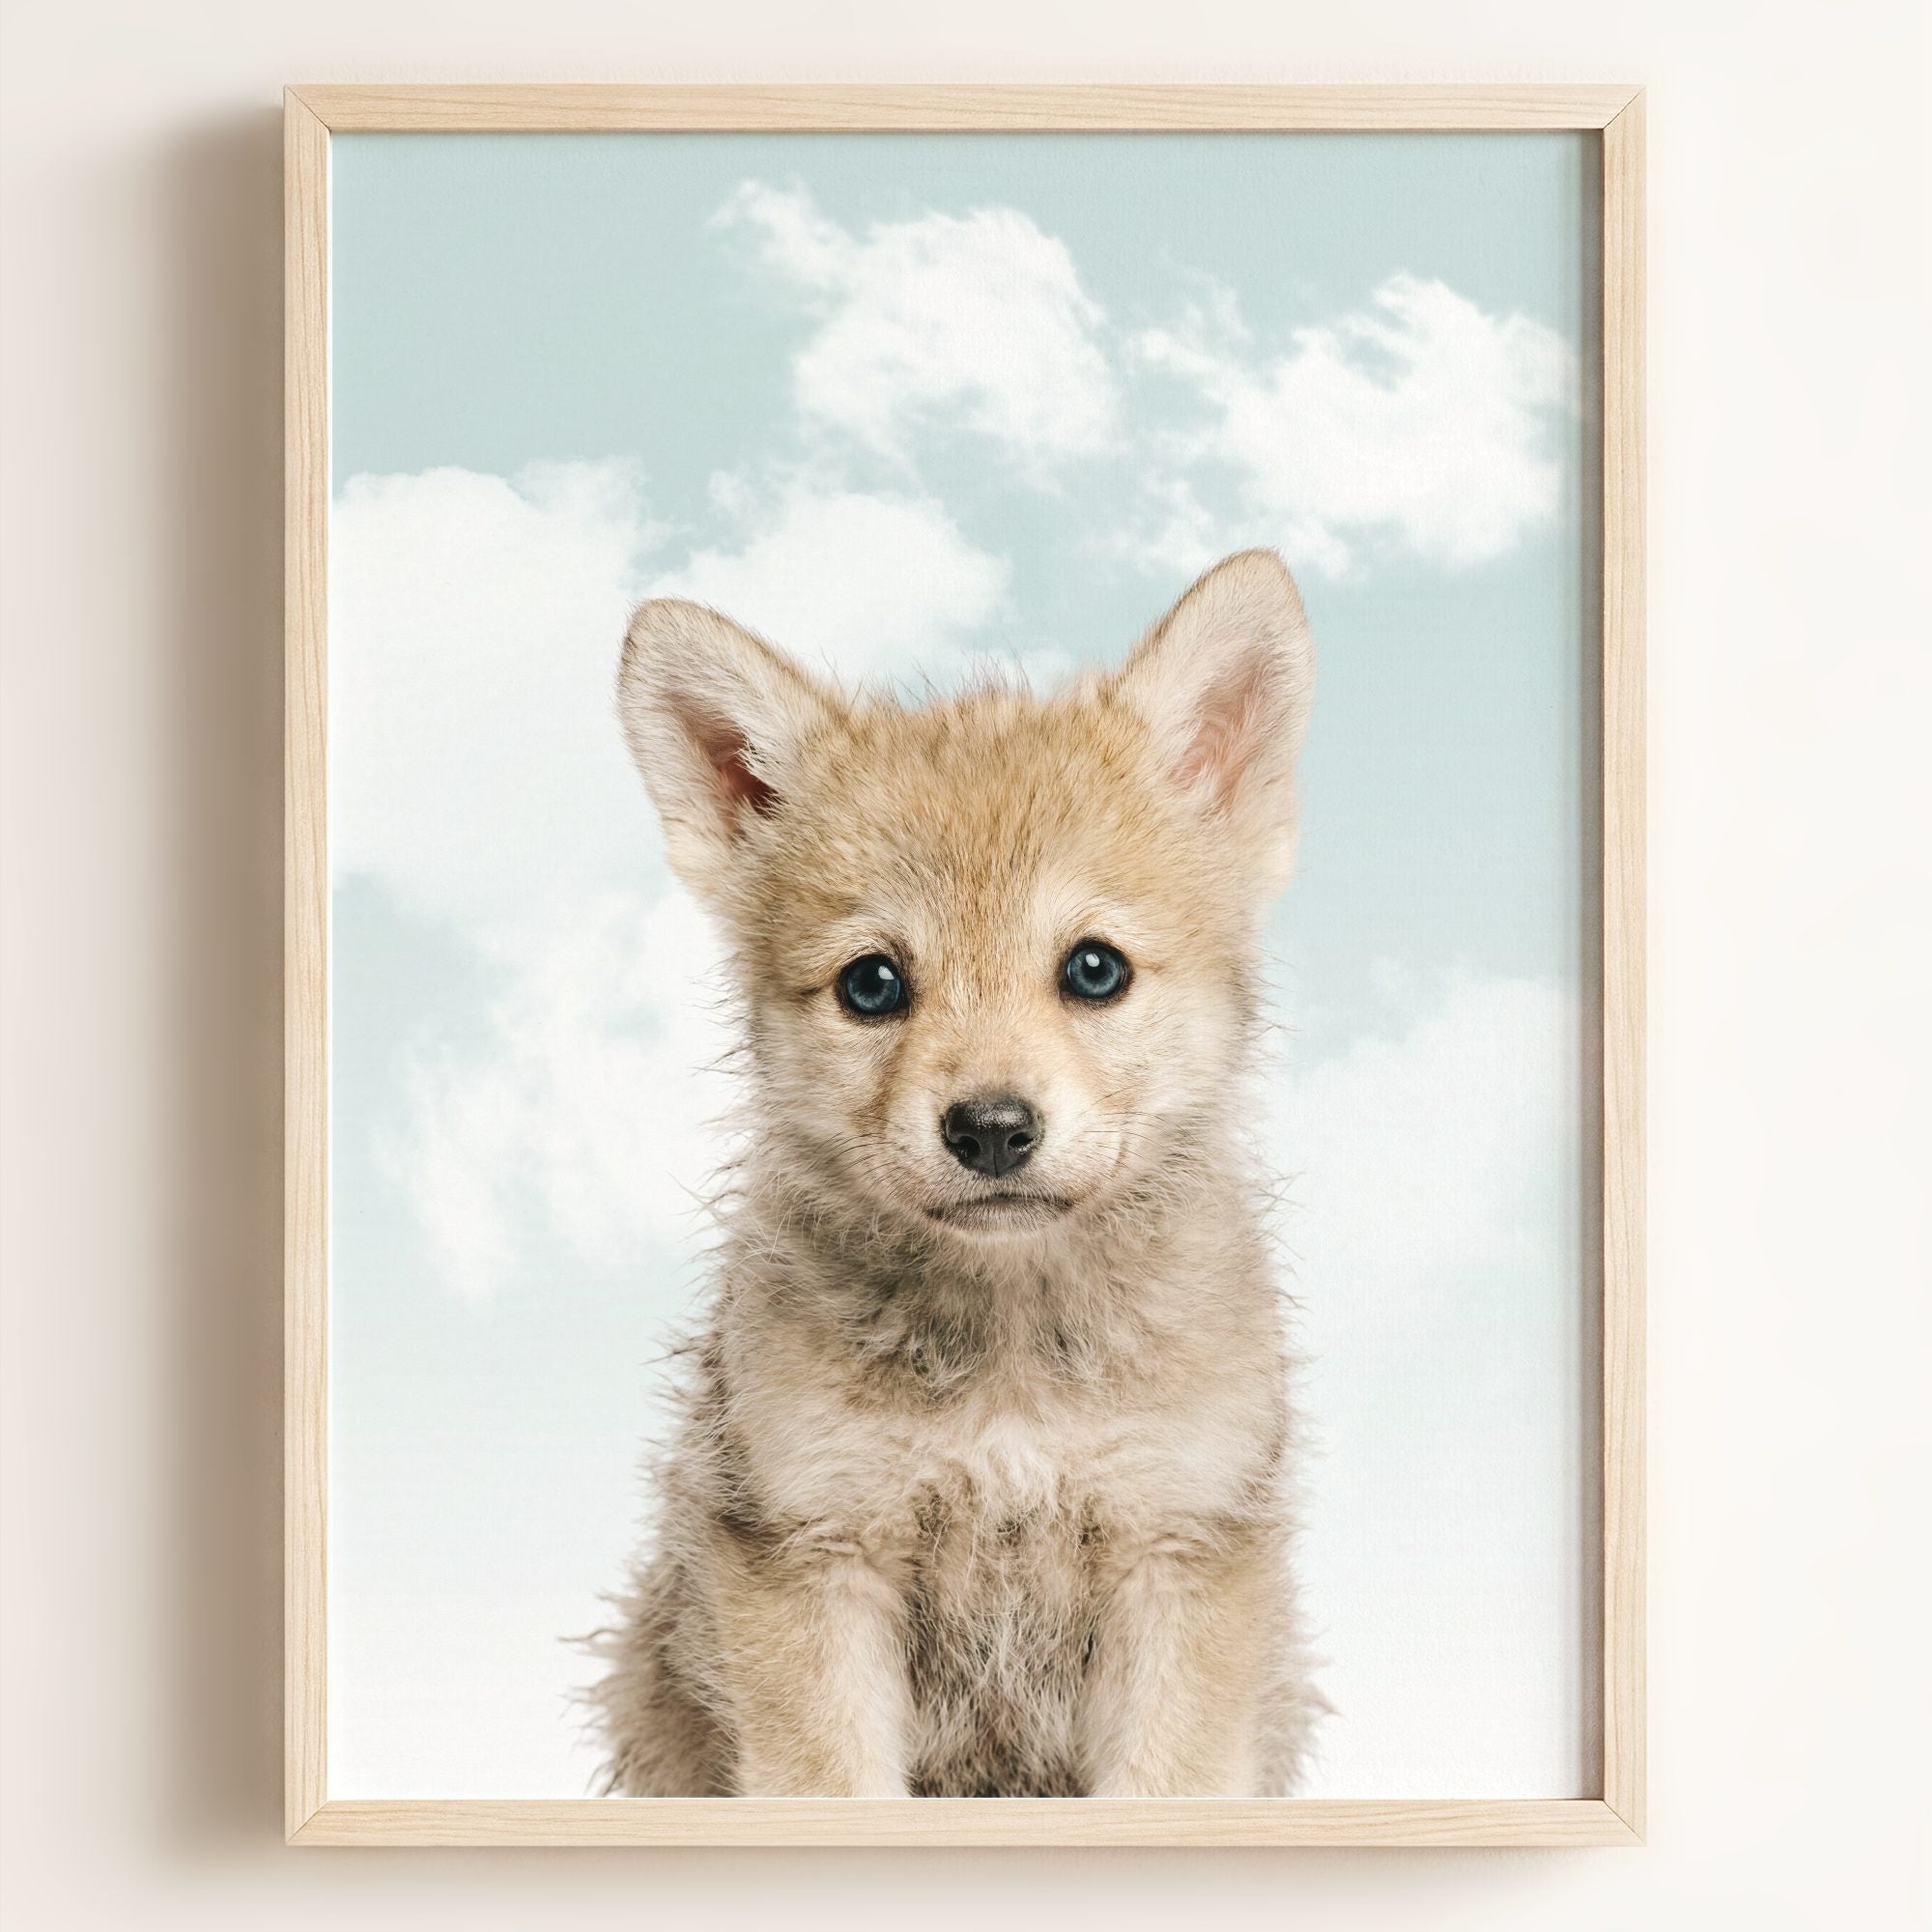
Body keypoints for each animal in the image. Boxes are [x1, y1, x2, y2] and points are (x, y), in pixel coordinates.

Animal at [590, 549, 1322, 1798]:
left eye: (1093, 968)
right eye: (871, 983)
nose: (989, 1128)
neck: (1011, 1367)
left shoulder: (1177, 1548)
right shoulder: (813, 1551)